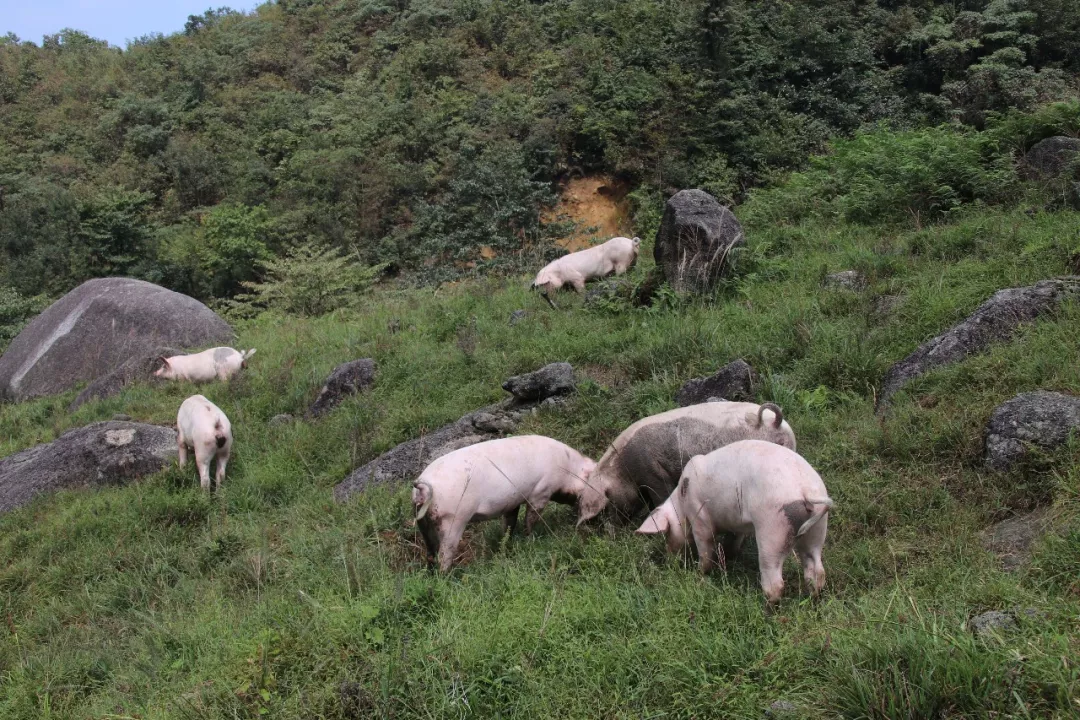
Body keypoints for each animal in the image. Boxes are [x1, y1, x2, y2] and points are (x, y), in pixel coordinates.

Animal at [410, 436, 604, 569]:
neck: (567, 470)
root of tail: (423, 486)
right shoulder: (540, 493)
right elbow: (531, 518)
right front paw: (530, 539)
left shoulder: (512, 501)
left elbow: (509, 523)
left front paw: (506, 545)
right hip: (453, 518)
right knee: (445, 554)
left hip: (423, 520)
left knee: (431, 552)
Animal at [635, 440, 829, 604]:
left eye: (667, 532)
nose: (669, 560)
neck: (681, 503)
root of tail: (805, 491)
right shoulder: (737, 523)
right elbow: (735, 538)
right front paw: (729, 554)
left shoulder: (699, 515)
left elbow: (705, 545)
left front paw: (700, 573)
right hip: (818, 528)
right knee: (816, 569)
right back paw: (813, 598)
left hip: (773, 526)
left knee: (775, 581)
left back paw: (765, 606)